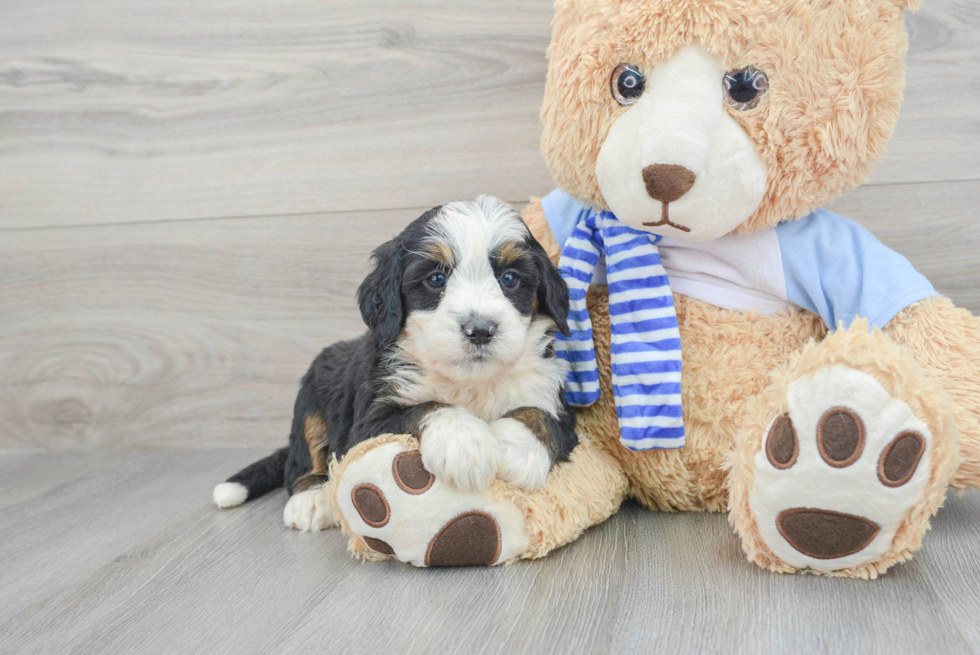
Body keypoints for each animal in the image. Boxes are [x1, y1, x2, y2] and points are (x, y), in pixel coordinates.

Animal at [213, 196, 580, 532]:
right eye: (436, 279)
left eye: (509, 278)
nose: (480, 329)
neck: (469, 383)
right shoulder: (367, 423)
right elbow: (426, 407)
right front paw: (464, 444)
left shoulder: (551, 393)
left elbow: (540, 416)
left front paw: (514, 450)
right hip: (312, 391)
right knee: (303, 456)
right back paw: (312, 498)